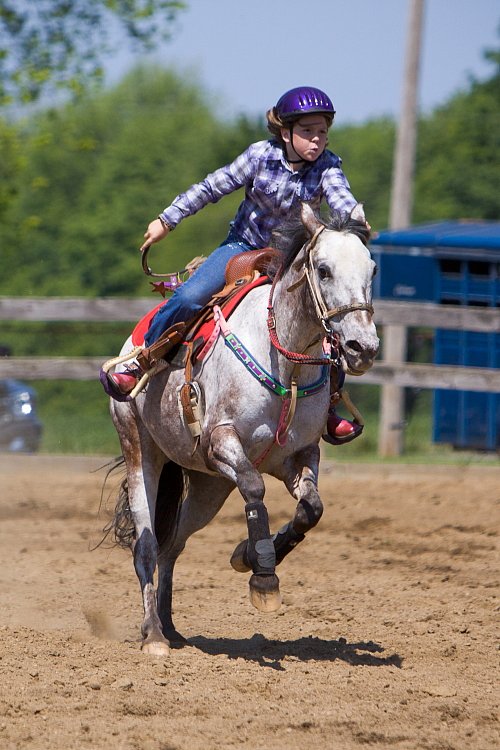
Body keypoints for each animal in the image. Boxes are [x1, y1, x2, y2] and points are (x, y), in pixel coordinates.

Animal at [108, 203, 378, 656]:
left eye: (372, 269)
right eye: (323, 270)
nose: (363, 347)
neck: (284, 360)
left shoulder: (299, 455)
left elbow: (311, 509)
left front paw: (246, 555)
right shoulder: (222, 442)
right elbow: (254, 487)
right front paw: (262, 575)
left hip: (208, 485)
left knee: (172, 545)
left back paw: (171, 627)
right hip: (140, 449)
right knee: (146, 544)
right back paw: (154, 636)